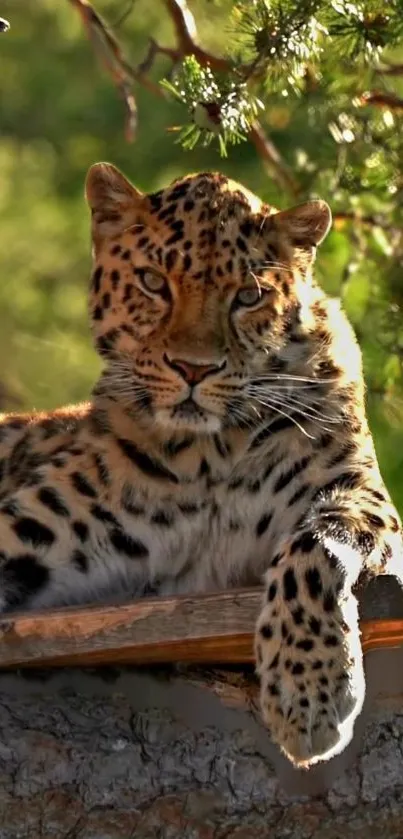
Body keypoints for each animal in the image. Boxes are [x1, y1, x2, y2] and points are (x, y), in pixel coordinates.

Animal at [0, 162, 402, 768]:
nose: (193, 369)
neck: (211, 453)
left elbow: (316, 547)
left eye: (249, 296)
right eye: (152, 281)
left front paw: (310, 694)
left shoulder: (360, 494)